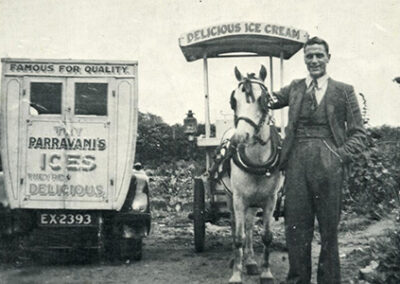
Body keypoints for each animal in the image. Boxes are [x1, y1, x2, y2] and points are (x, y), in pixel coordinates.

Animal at [223, 65, 282, 284]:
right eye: (234, 100)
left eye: (262, 99)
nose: (241, 137)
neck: (257, 161)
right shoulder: (239, 199)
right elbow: (238, 237)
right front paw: (235, 275)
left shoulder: (270, 200)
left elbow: (266, 237)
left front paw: (266, 272)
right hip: (231, 197)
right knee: (236, 225)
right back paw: (237, 259)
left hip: (254, 202)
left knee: (248, 226)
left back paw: (250, 261)